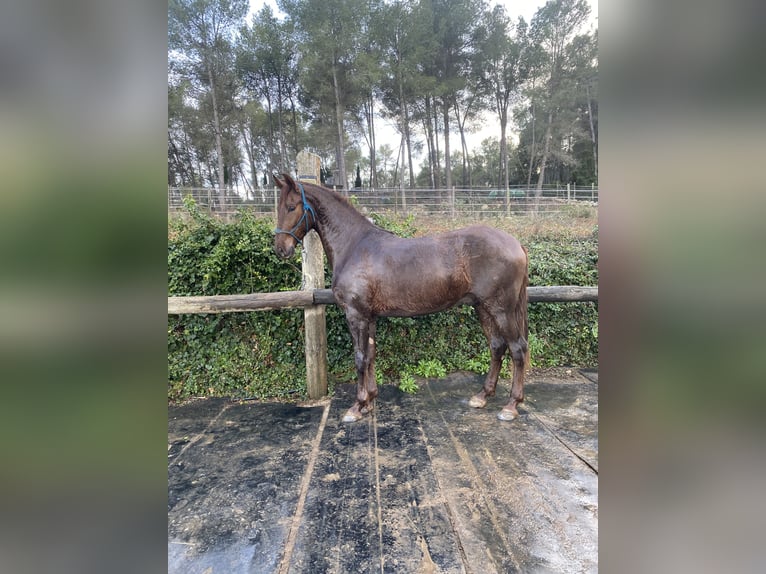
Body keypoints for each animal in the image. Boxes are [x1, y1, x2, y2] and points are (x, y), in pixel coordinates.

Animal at [272, 173, 529, 423]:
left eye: (291, 206)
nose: (280, 249)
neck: (354, 245)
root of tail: (516, 243)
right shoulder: (370, 317)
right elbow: (370, 355)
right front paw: (370, 402)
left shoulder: (356, 315)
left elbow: (359, 357)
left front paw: (357, 406)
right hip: (483, 307)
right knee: (497, 346)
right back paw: (482, 396)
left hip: (501, 310)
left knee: (518, 349)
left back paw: (511, 406)